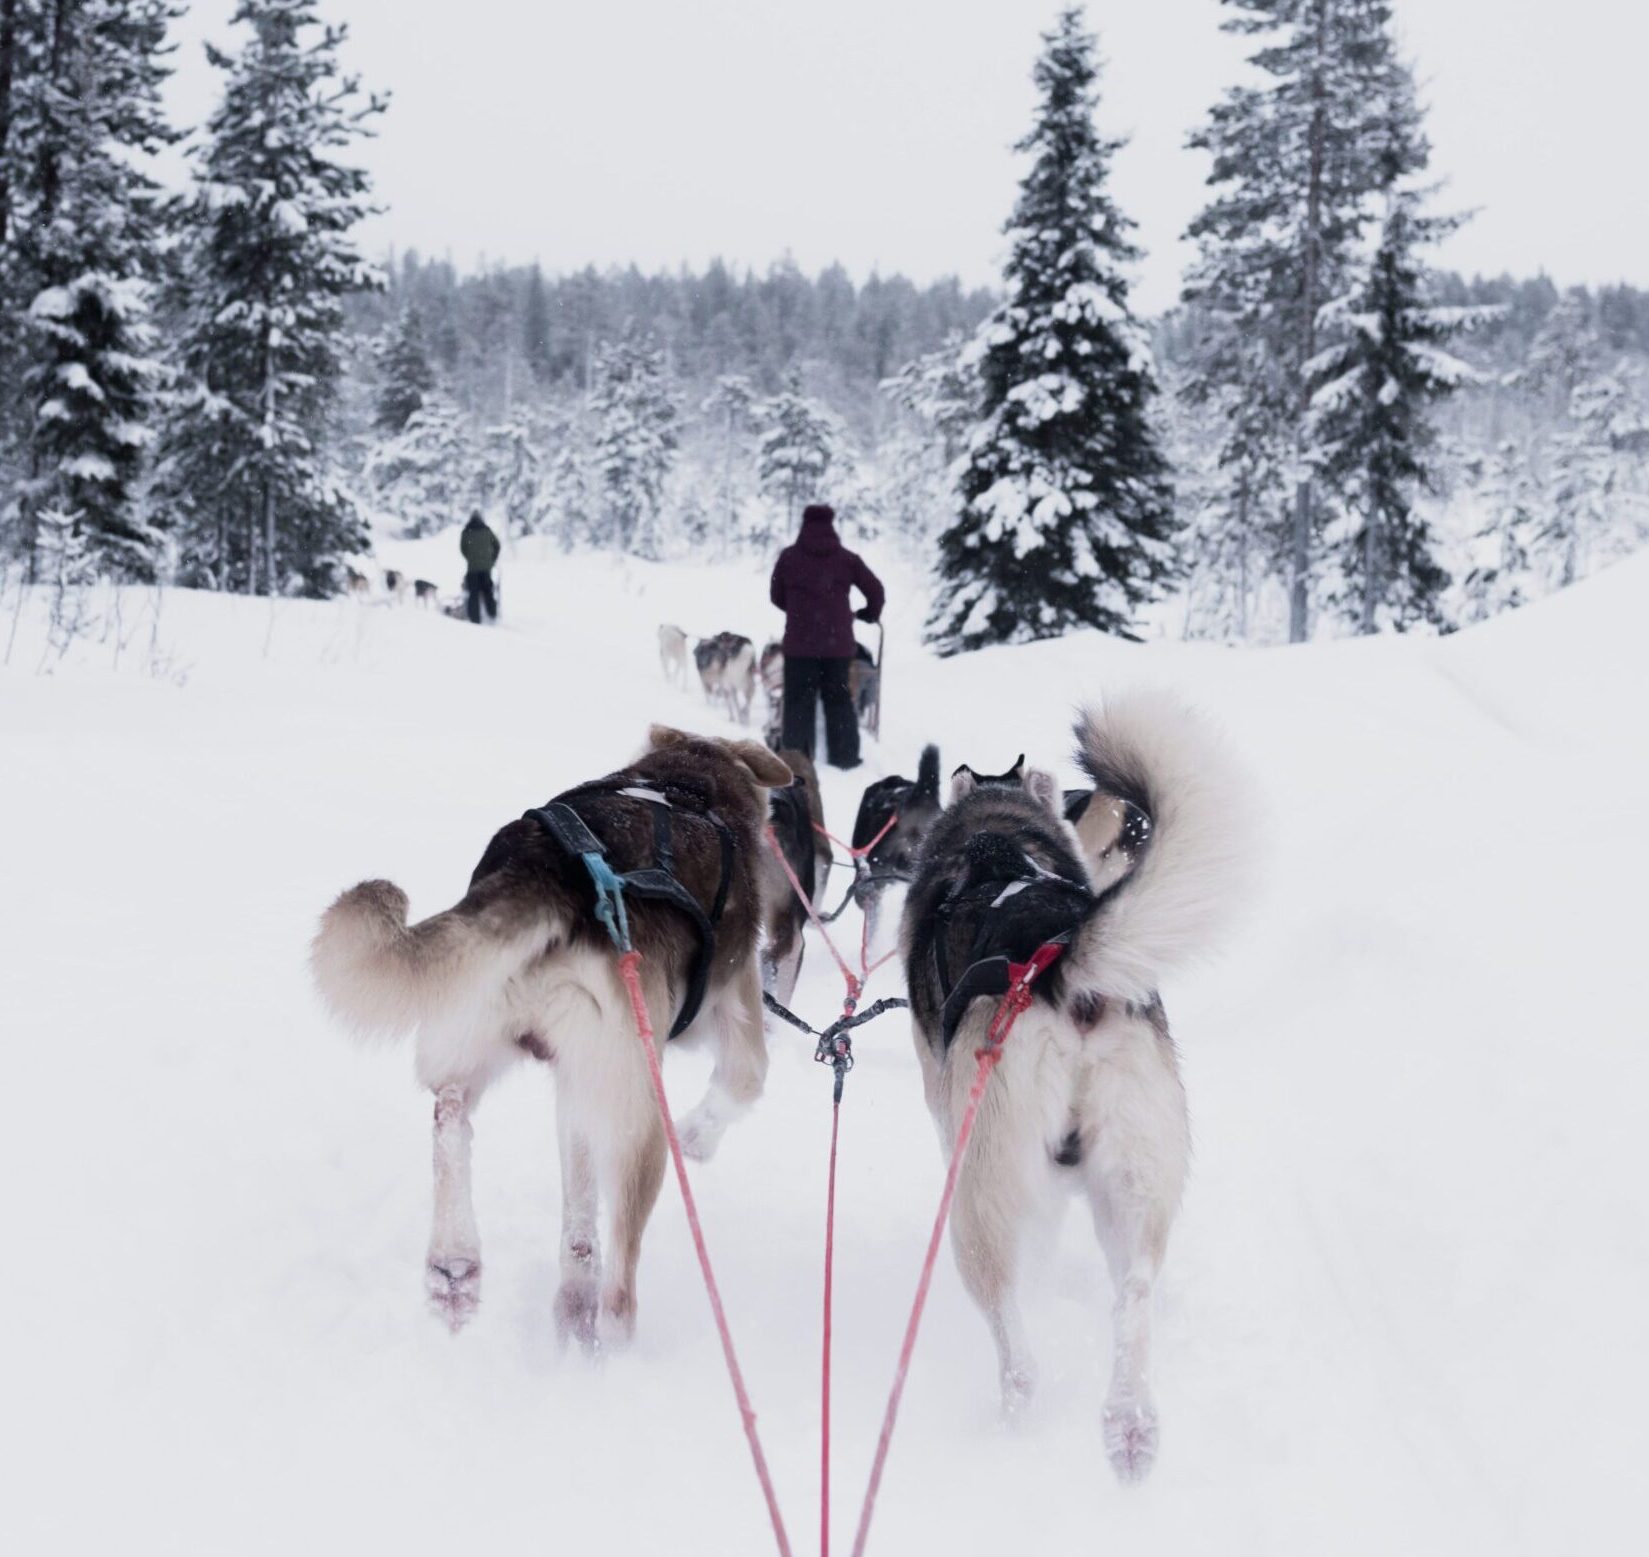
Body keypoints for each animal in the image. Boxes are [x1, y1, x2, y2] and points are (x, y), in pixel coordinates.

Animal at [316, 729, 798, 1352]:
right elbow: (743, 1084)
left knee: (453, 1117)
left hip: (492, 1032)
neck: (689, 779)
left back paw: (460, 1267)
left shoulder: (575, 1088)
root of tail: (547, 873)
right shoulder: (736, 1011)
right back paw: (613, 1347)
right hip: (639, 1115)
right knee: (618, 1284)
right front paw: (698, 1137)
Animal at [903, 692, 1246, 1484]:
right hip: (1134, 1180)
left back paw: (1014, 1419)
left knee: (1014, 1341)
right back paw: (1129, 1426)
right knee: (1134, 1296)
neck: (996, 839)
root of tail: (1062, 967)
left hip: (980, 1195)